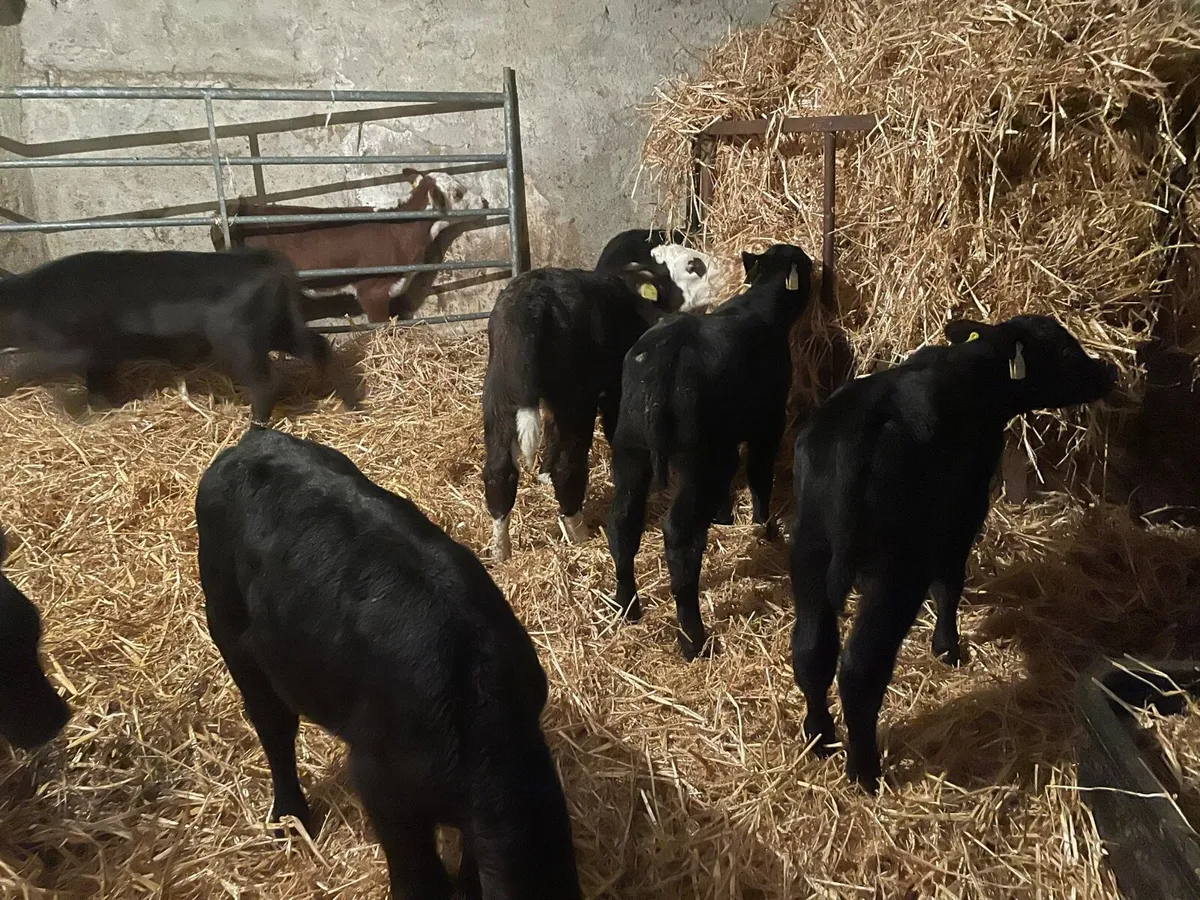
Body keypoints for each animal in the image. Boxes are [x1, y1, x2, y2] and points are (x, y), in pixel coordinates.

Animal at [0, 247, 345, 423]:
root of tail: (265, 261)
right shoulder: (103, 355)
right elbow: (98, 383)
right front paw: (102, 408)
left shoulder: (73, 348)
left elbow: (31, 367)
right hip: (277, 327)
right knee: (317, 346)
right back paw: (331, 393)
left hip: (238, 339)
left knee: (266, 383)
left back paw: (251, 427)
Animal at [196, 426, 582, 900]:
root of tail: (248, 443)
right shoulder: (379, 781)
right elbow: (418, 875)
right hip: (231, 632)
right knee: (273, 727)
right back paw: (290, 819)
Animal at [483, 264, 668, 561]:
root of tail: (530, 307)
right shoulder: (615, 389)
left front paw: (542, 474)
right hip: (574, 399)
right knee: (567, 467)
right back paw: (580, 533)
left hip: (499, 396)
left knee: (499, 472)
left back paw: (501, 551)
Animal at [606, 243, 814, 660]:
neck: (758, 308)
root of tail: (661, 362)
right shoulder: (767, 423)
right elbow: (759, 474)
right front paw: (763, 528)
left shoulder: (725, 442)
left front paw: (724, 515)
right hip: (695, 460)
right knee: (680, 537)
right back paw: (693, 639)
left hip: (630, 449)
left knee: (622, 522)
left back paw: (627, 606)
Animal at [789, 314, 1118, 792]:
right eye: (1063, 349)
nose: (1108, 371)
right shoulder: (964, 508)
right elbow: (949, 582)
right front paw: (947, 648)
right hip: (896, 571)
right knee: (859, 667)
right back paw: (864, 770)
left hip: (809, 551)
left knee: (812, 648)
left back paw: (819, 736)